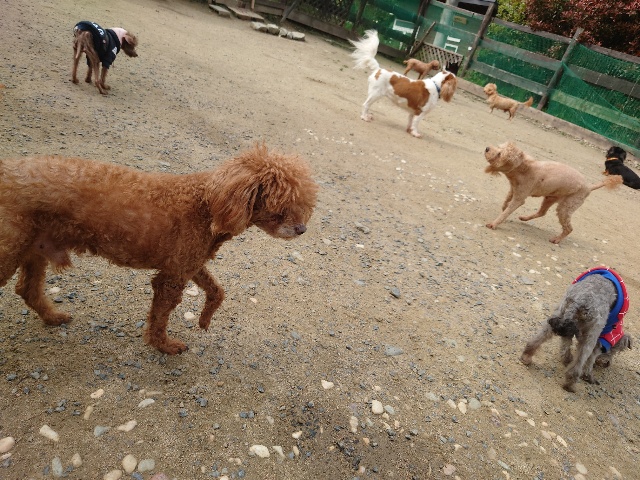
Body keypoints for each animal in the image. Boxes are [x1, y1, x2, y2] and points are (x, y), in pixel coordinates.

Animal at [0, 144, 318, 354]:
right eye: (282, 203)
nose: (302, 229)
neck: (208, 205)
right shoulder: (172, 277)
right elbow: (161, 316)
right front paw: (164, 345)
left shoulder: (187, 263)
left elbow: (217, 290)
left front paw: (204, 320)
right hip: (10, 250)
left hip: (36, 248)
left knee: (27, 289)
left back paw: (53, 317)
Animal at [484, 142, 622, 243]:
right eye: (499, 146)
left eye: (500, 153)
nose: (487, 148)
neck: (524, 169)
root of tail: (589, 187)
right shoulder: (513, 190)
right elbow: (506, 204)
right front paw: (504, 210)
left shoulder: (519, 198)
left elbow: (506, 211)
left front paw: (494, 224)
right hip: (550, 198)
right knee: (542, 212)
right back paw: (525, 218)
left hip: (565, 208)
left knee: (569, 228)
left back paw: (556, 239)